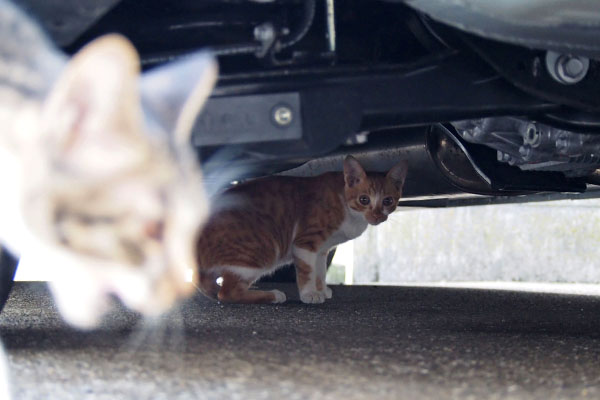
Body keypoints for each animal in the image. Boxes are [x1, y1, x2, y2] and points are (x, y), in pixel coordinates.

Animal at [196, 155, 408, 304]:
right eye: (364, 199)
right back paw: (272, 295)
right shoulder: (305, 243)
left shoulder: (322, 249)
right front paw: (309, 294)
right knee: (227, 293)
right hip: (262, 251)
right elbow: (307, 271)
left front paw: (321, 289)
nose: (377, 216)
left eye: (388, 201)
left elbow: (320, 272)